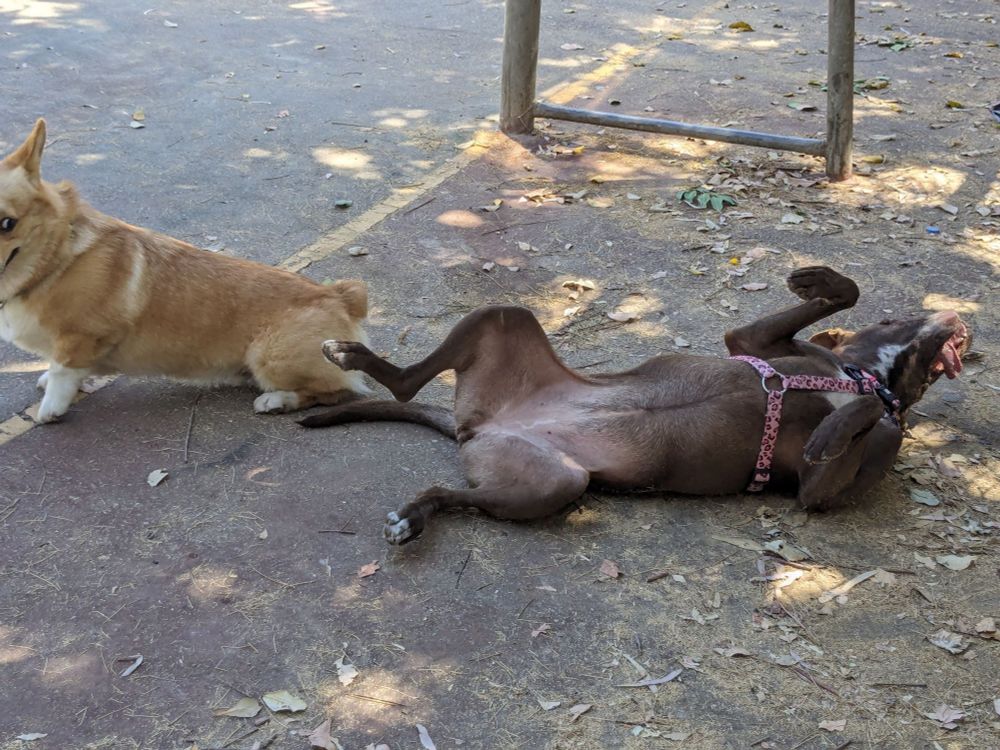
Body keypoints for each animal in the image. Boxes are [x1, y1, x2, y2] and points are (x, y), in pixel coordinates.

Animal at [0, 119, 368, 422]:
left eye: (8, 223)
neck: (56, 257)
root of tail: (338, 296)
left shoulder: (80, 338)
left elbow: (62, 374)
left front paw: (50, 409)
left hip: (267, 355)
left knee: (337, 391)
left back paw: (276, 401)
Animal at [300, 266, 971, 544]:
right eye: (892, 317)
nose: (958, 318)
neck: (862, 374)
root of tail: (481, 426)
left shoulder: (818, 492)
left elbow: (867, 420)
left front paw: (835, 430)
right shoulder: (750, 345)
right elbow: (843, 295)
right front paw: (820, 281)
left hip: (553, 481)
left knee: (445, 484)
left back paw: (414, 516)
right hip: (503, 317)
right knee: (407, 384)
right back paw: (347, 354)